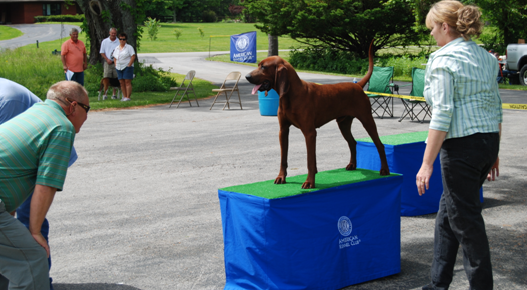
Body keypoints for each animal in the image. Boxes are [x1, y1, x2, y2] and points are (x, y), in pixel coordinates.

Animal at [245, 42, 390, 189]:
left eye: (263, 67)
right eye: (259, 65)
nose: (247, 76)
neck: (291, 95)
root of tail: (358, 86)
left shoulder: (309, 132)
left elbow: (310, 160)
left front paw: (309, 182)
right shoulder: (283, 131)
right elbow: (283, 158)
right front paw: (281, 177)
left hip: (367, 120)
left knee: (380, 145)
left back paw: (384, 170)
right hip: (343, 124)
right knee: (352, 142)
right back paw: (352, 165)